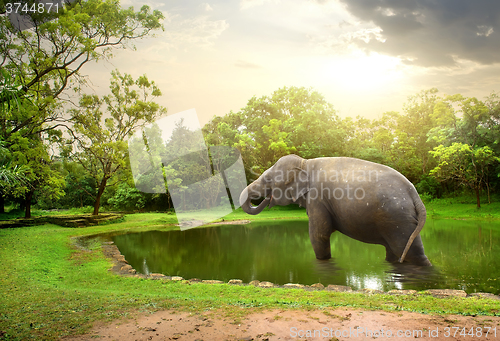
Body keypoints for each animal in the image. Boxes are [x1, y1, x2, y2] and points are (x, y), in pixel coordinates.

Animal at [240, 154, 432, 266]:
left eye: (268, 180)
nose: (266, 199)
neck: (305, 163)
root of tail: (413, 192)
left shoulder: (317, 198)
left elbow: (319, 234)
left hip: (397, 218)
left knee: (411, 252)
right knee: (395, 251)